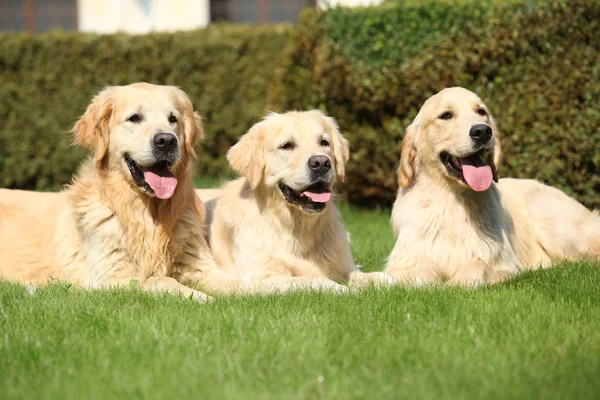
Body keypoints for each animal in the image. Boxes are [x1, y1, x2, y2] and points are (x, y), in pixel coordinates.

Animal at [0, 82, 237, 300]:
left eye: (173, 119)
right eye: (135, 118)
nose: (167, 140)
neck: (148, 214)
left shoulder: (200, 266)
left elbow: (237, 283)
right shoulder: (112, 276)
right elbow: (160, 279)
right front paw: (202, 297)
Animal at [207, 110, 394, 294]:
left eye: (324, 142)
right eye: (287, 145)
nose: (321, 162)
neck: (298, 229)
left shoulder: (344, 267)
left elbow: (377, 276)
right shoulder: (256, 278)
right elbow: (314, 279)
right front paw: (346, 290)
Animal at [386, 88, 596, 288]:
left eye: (481, 112)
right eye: (446, 115)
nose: (483, 132)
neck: (452, 201)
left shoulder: (501, 262)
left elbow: (476, 267)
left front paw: (452, 284)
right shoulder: (408, 260)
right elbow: (414, 274)